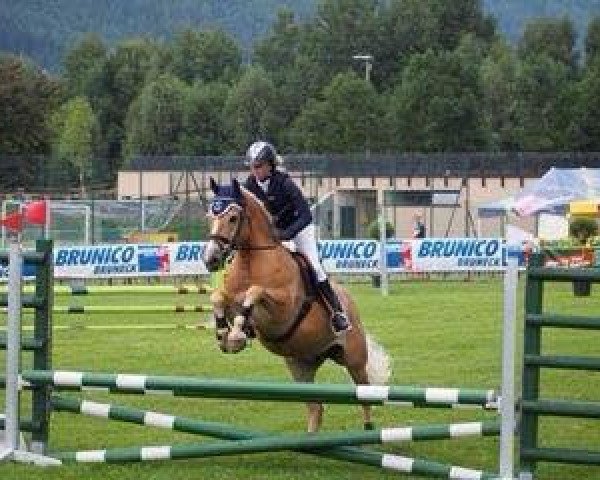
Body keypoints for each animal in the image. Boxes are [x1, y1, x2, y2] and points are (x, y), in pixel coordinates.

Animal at [203, 178, 390, 434]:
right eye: (210, 216)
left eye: (232, 218)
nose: (210, 259)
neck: (253, 260)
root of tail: (351, 306)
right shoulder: (232, 300)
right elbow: (218, 297)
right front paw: (224, 333)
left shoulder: (282, 310)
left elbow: (255, 292)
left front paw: (238, 334)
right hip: (301, 364)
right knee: (316, 408)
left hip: (354, 359)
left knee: (364, 394)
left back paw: (368, 428)